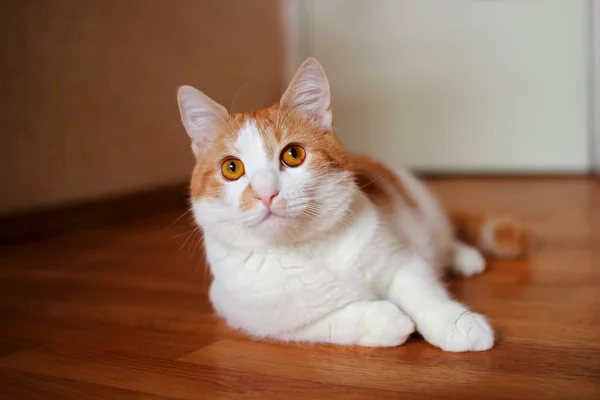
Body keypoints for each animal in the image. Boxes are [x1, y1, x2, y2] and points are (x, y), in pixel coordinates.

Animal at [177, 57, 528, 354]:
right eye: (231, 168)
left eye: (293, 154)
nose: (266, 193)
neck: (305, 248)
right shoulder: (255, 316)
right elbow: (331, 321)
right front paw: (389, 320)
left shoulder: (401, 258)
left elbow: (424, 292)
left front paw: (456, 325)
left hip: (424, 209)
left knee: (443, 237)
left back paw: (464, 257)